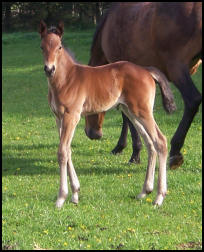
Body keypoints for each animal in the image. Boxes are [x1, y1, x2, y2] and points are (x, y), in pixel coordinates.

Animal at [38, 20, 171, 208]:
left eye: (59, 47)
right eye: (42, 47)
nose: (49, 69)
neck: (66, 79)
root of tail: (146, 71)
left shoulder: (72, 116)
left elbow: (62, 152)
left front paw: (61, 198)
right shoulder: (58, 118)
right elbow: (67, 150)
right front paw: (75, 194)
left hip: (143, 111)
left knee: (160, 141)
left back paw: (159, 197)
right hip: (131, 112)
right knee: (150, 143)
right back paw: (145, 191)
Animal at [83, 1, 202, 169]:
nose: (93, 133)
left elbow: (127, 116)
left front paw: (134, 152)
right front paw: (122, 147)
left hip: (177, 68)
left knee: (193, 101)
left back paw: (175, 152)